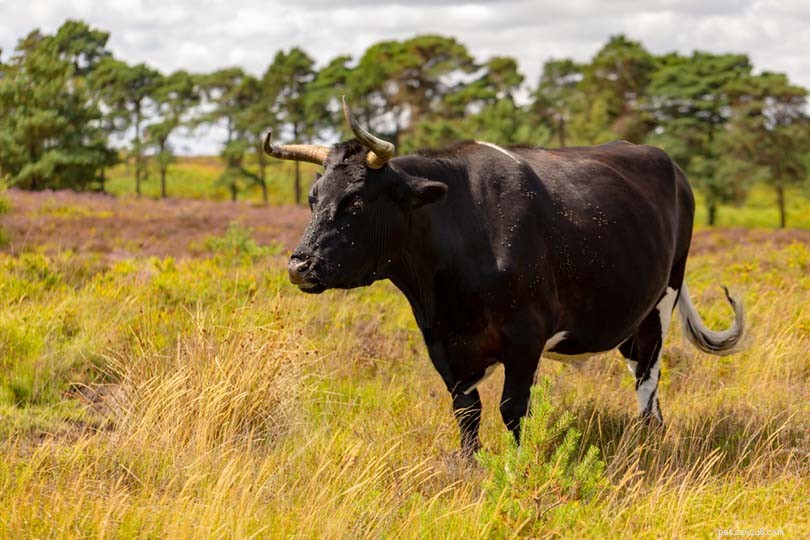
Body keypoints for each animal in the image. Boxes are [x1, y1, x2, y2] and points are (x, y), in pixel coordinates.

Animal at [264, 97, 745, 455]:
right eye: (312, 198)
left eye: (356, 202)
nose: (299, 265)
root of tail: (662, 159)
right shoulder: (442, 343)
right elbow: (466, 410)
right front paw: (469, 466)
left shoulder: (526, 336)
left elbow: (512, 408)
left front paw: (516, 466)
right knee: (638, 366)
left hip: (664, 297)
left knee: (648, 374)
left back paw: (648, 441)